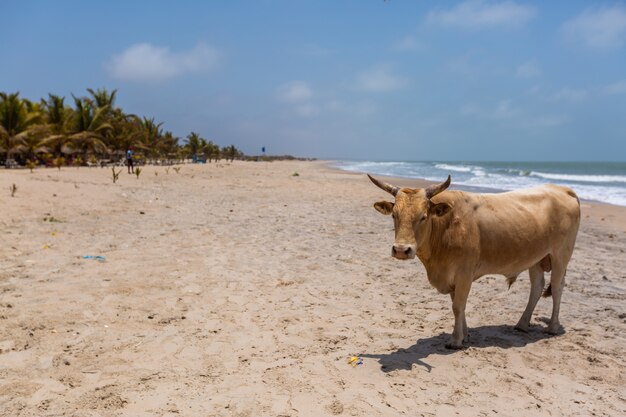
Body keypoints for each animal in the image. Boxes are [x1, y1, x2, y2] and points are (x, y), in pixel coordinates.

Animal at [368, 174, 576, 350]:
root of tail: (563, 189)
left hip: (561, 255)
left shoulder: (464, 273)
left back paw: (552, 327)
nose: (401, 250)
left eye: (423, 216)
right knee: (537, 287)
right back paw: (522, 324)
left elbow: (458, 306)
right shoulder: (453, 276)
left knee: (557, 286)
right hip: (537, 258)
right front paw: (465, 335)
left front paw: (455, 340)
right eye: (394, 215)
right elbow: (458, 305)